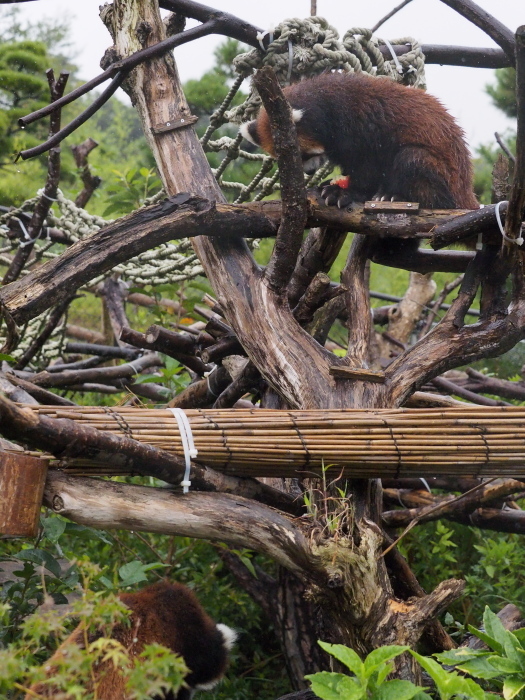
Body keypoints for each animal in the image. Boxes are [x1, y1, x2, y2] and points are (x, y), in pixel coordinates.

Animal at [242, 71, 478, 254]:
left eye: (303, 154)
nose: (309, 172)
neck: (326, 103)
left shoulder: (360, 127)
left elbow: (368, 168)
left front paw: (344, 193)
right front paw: (334, 184)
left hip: (438, 170)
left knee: (412, 161)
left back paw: (394, 195)